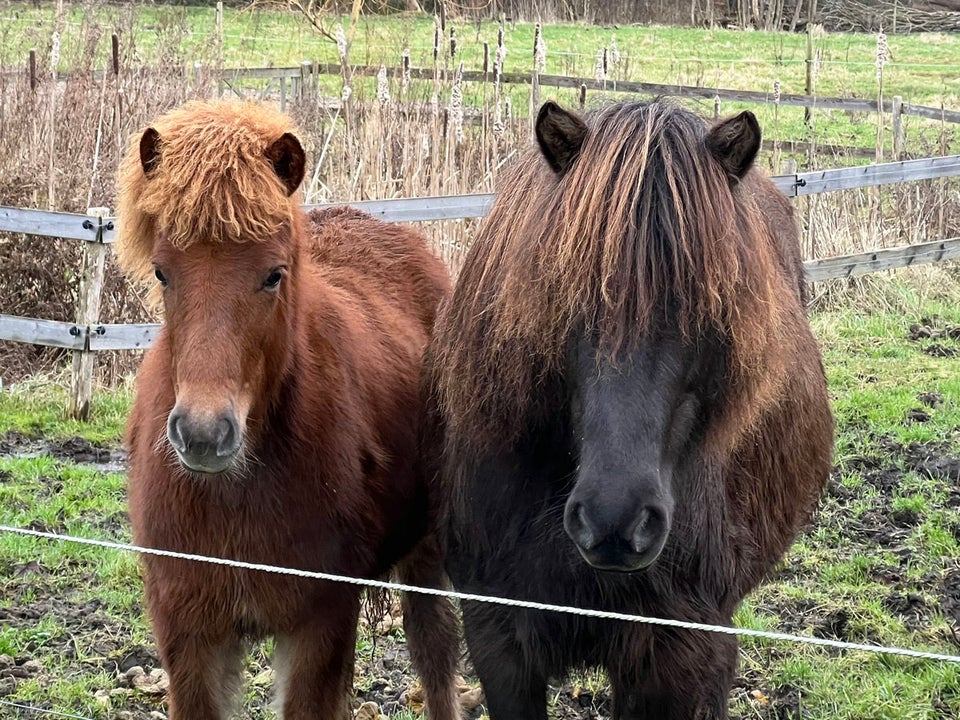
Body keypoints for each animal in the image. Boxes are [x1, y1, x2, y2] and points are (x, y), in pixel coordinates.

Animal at [116, 101, 462, 720]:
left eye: (273, 275)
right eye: (161, 272)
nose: (203, 434)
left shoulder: (317, 625)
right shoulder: (189, 636)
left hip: (425, 553)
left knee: (435, 652)